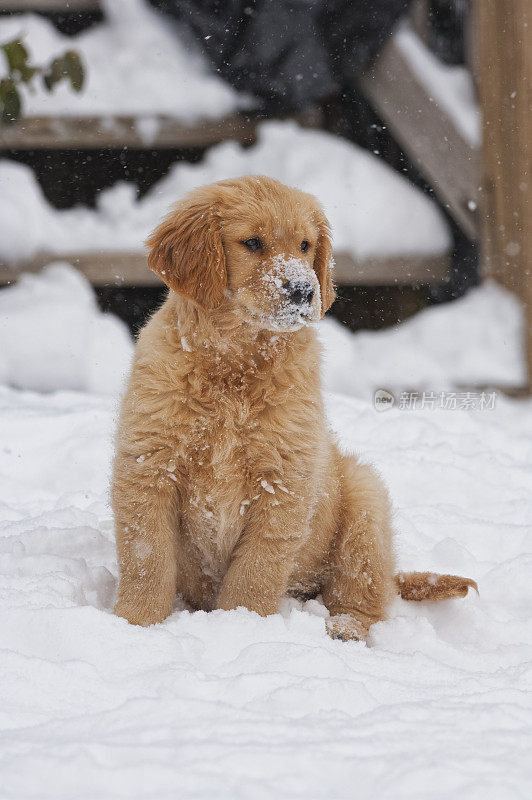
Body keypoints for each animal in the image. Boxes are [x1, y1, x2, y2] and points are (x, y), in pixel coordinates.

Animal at [112, 177, 478, 644]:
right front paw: (136, 624)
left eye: (306, 246)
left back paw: (344, 628)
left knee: (363, 594)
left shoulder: (284, 479)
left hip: (365, 500)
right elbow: (148, 557)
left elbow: (256, 571)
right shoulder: (149, 465)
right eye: (252, 242)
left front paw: (241, 627)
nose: (304, 290)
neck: (235, 367)